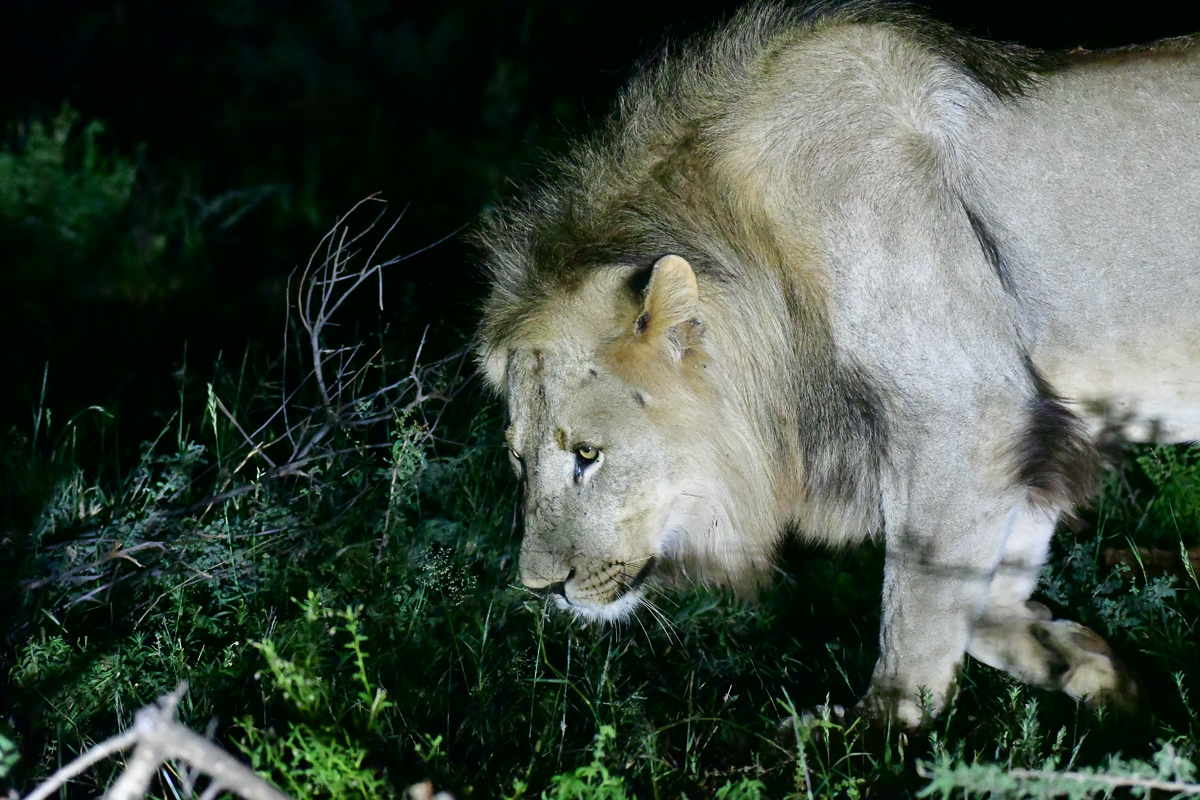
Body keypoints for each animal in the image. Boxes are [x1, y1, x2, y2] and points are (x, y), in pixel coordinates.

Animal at [475, 2, 1200, 727]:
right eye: (517, 458)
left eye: (588, 455)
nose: (541, 588)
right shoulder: (1036, 426)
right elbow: (990, 598)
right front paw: (1087, 665)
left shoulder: (970, 413)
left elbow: (918, 604)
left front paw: (875, 733)